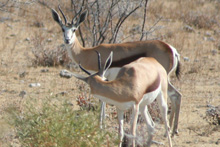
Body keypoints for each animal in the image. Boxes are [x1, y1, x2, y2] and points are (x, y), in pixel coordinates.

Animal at [51, 6, 182, 136]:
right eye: (63, 29)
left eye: (74, 29)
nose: (67, 40)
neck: (87, 53)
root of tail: (171, 49)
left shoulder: (104, 76)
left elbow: (102, 100)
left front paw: (101, 126)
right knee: (176, 95)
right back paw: (173, 130)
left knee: (174, 95)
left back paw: (170, 130)